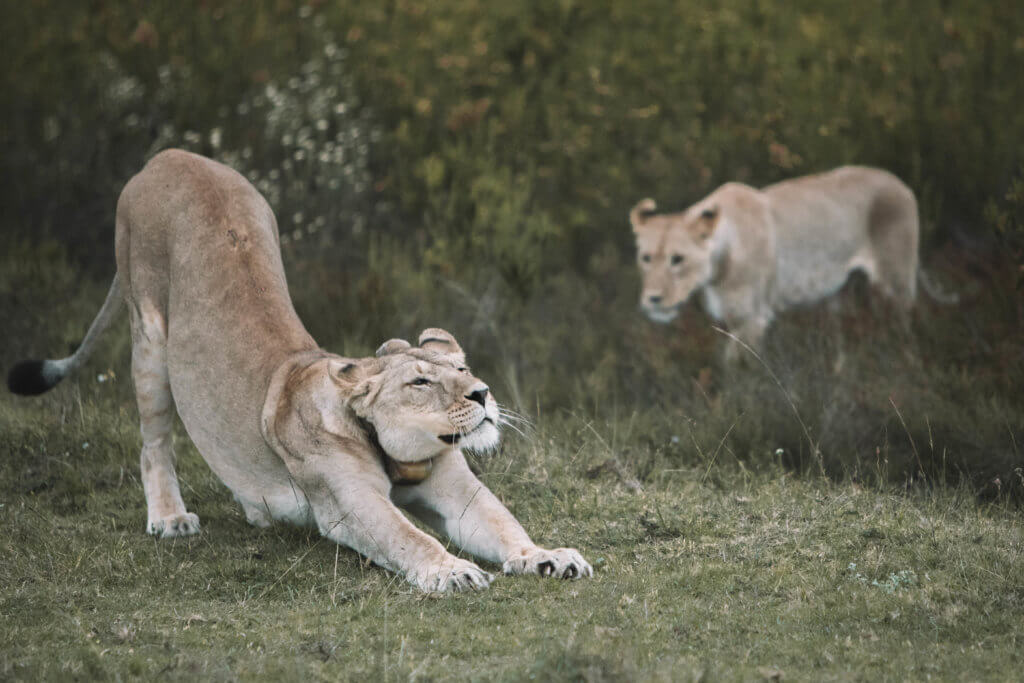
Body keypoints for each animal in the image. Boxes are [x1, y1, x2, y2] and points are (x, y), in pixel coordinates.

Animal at [8, 149, 591, 593]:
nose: (482, 393)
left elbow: (501, 523)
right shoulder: (350, 504)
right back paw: (170, 519)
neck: (401, 455)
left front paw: (545, 555)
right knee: (154, 443)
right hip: (149, 332)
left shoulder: (457, 488)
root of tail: (168, 156)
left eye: (462, 366)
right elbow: (411, 537)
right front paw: (451, 571)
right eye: (420, 382)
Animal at [630, 166, 954, 360]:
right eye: (646, 258)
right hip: (841, 296)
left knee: (904, 331)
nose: (653, 299)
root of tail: (899, 182)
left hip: (895, 285)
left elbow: (737, 370)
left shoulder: (753, 319)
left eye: (677, 259)